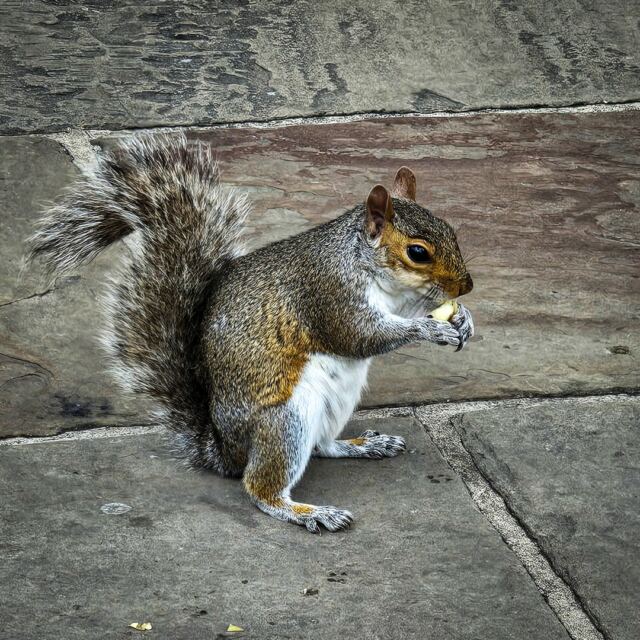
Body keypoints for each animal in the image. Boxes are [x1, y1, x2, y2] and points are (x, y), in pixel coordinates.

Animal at [29, 134, 474, 533]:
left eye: (452, 230)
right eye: (417, 252)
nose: (466, 286)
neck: (364, 263)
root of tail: (224, 450)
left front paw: (462, 318)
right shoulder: (327, 293)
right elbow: (359, 336)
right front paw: (429, 327)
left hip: (335, 404)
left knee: (324, 445)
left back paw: (363, 445)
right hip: (284, 422)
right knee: (260, 488)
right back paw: (309, 513)